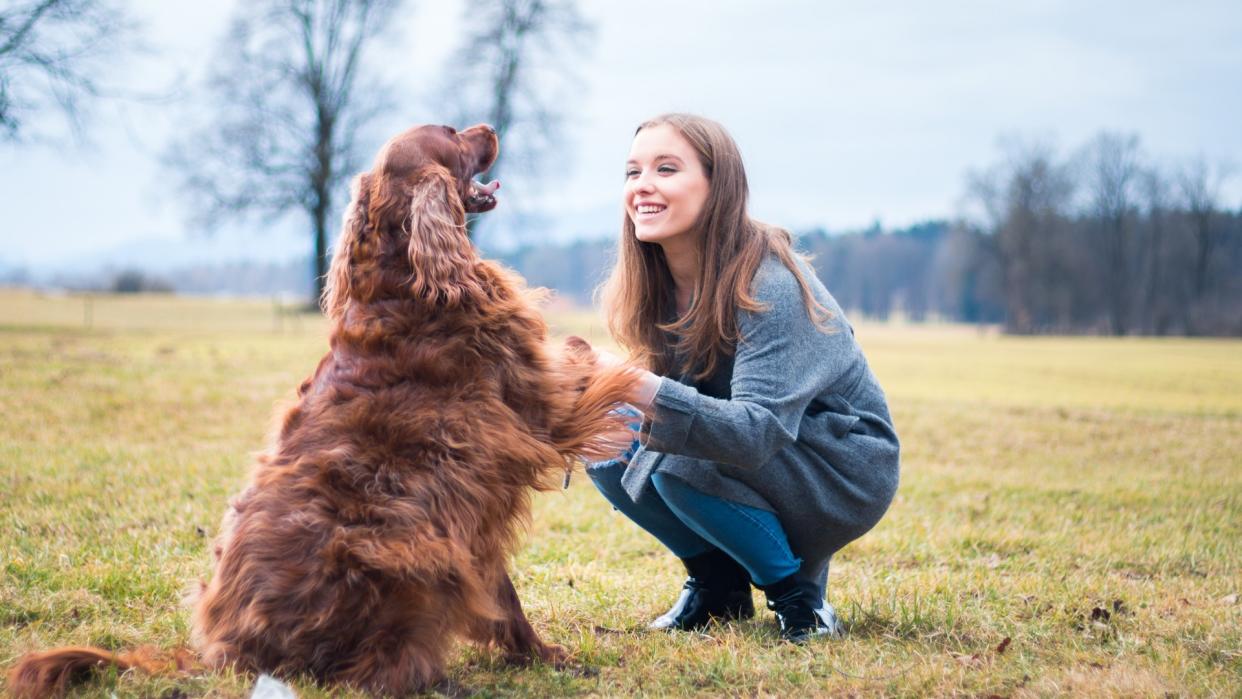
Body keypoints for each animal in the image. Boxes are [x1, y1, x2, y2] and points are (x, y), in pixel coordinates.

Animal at [14, 122, 640, 695]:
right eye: (452, 133)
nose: (488, 126)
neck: (403, 279)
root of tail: (225, 657)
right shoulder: (540, 403)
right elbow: (590, 366)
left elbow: (504, 594)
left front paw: (537, 655)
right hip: (402, 556)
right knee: (369, 670)